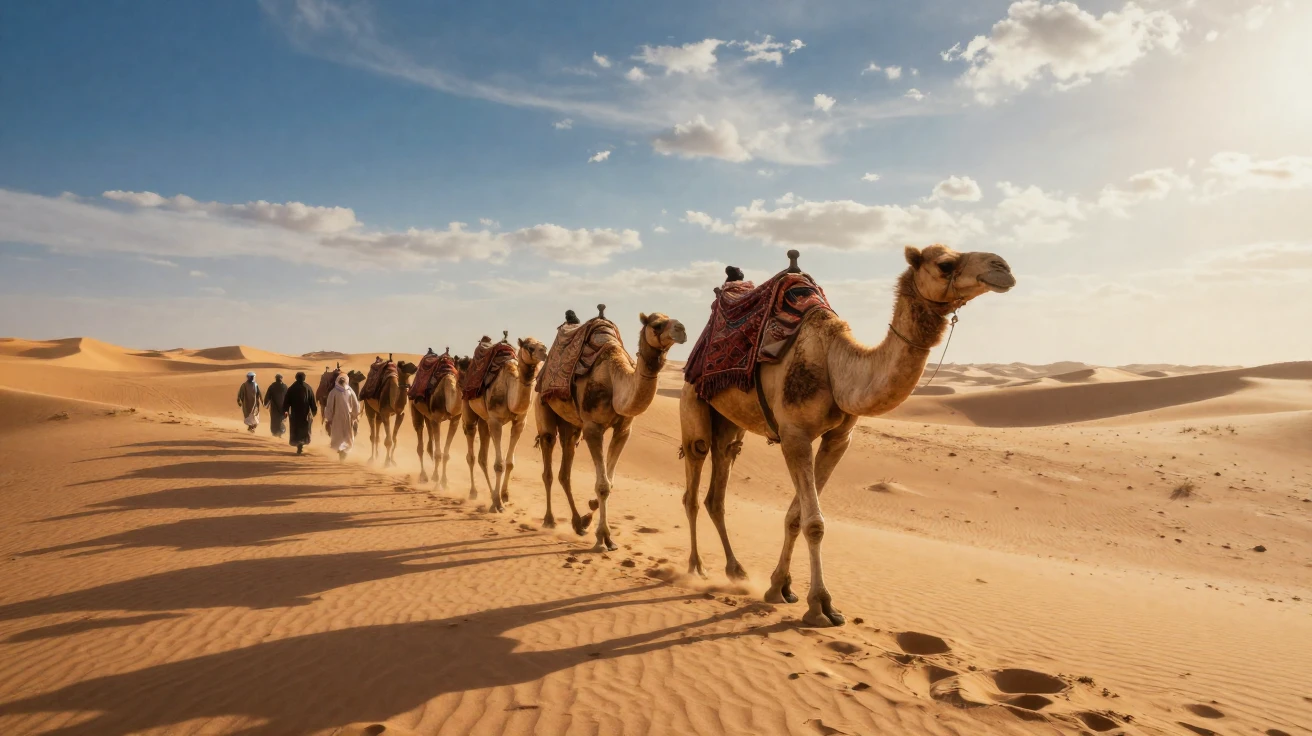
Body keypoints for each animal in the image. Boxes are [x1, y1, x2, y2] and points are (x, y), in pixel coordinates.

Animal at [411, 353, 469, 489]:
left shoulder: (455, 419)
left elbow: (445, 454)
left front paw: (444, 482)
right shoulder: (436, 419)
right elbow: (438, 453)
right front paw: (437, 480)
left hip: (428, 417)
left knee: (429, 443)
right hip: (415, 408)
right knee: (420, 443)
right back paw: (424, 476)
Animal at [462, 334, 548, 513]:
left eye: (542, 344)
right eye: (529, 347)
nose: (544, 352)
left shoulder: (520, 422)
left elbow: (509, 463)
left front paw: (504, 496)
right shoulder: (495, 421)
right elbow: (499, 464)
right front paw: (498, 503)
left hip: (484, 420)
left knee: (482, 457)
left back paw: (491, 495)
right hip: (469, 409)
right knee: (471, 454)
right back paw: (474, 492)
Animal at [536, 307, 687, 549]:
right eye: (656, 324)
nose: (681, 329)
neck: (616, 381)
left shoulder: (623, 430)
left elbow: (610, 481)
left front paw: (590, 516)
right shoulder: (593, 428)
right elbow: (603, 485)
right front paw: (603, 538)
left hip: (571, 426)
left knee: (564, 471)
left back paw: (578, 523)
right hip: (543, 405)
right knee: (548, 465)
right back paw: (549, 520)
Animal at [680, 246, 1015, 627]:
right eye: (945, 264)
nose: (1003, 267)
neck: (835, 365)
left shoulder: (838, 438)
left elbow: (796, 516)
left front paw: (779, 587)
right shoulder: (794, 434)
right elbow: (814, 523)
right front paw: (821, 605)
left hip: (729, 423)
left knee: (718, 487)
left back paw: (736, 571)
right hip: (693, 401)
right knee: (693, 483)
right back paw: (696, 569)